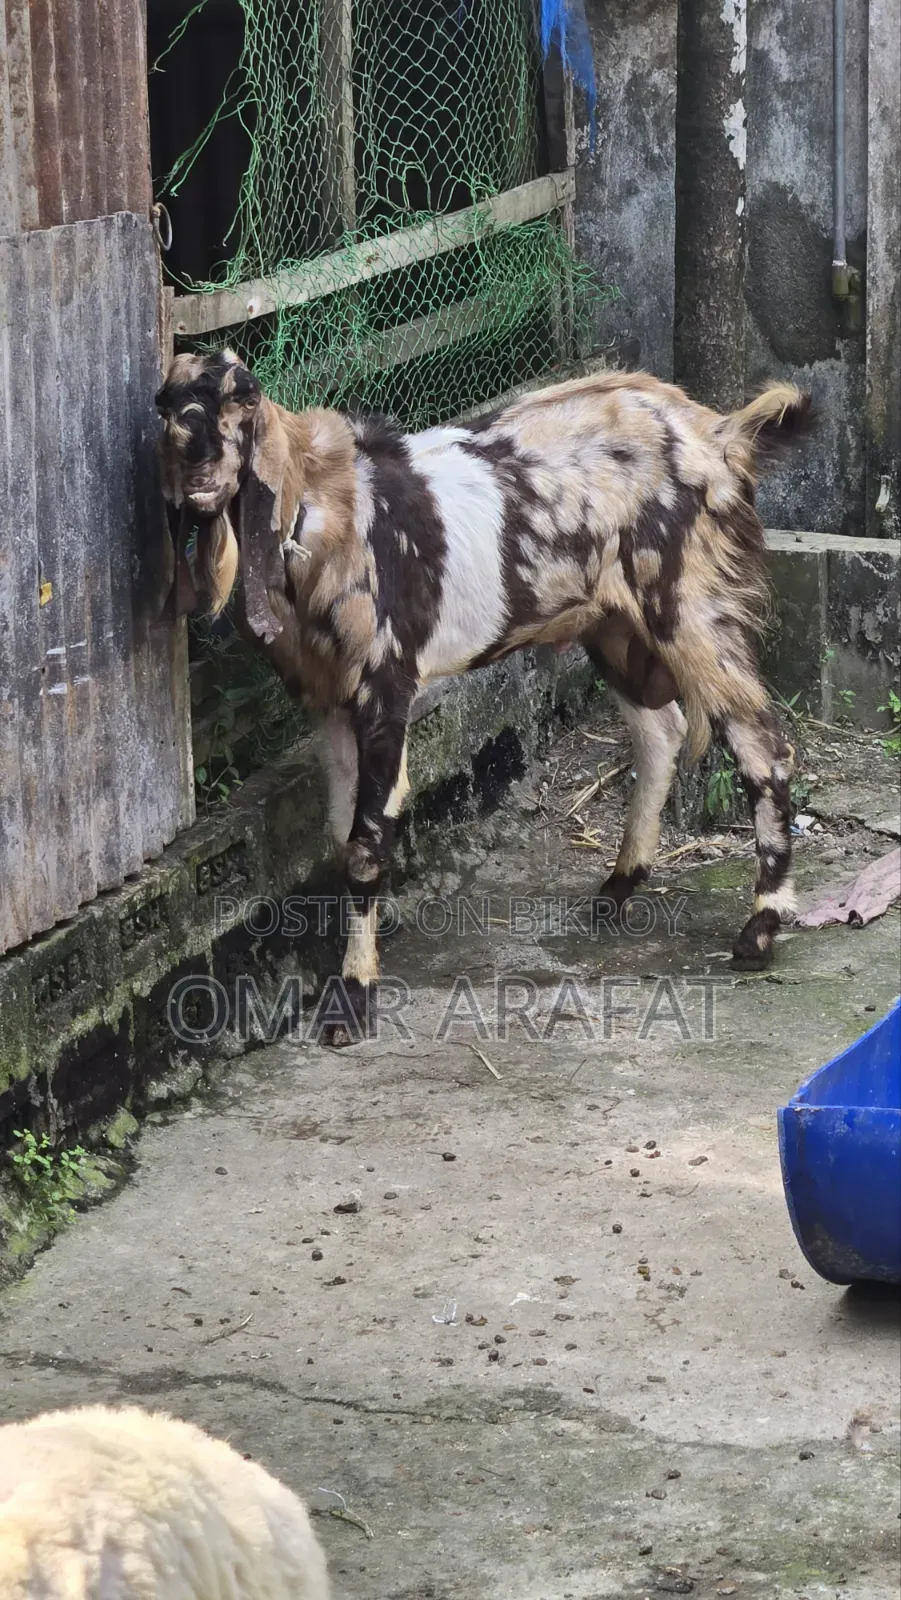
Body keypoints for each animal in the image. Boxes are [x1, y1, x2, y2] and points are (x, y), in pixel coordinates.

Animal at [156, 351, 812, 1046]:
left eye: (243, 397)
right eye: (165, 405)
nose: (195, 465)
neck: (317, 507)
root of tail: (719, 433)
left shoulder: (385, 694)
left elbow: (364, 846)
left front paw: (354, 996)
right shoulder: (328, 705)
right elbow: (343, 837)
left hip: (691, 618)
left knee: (763, 749)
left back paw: (761, 928)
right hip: (613, 629)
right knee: (661, 732)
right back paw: (620, 884)